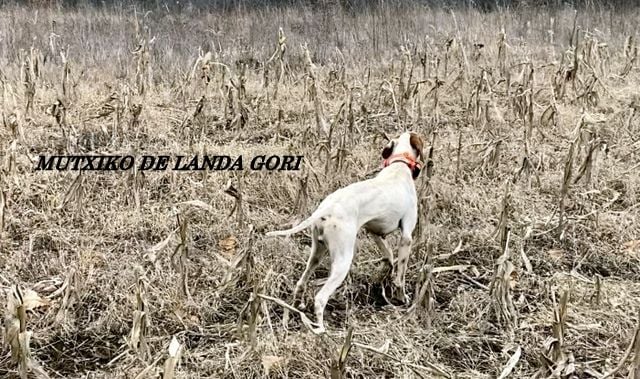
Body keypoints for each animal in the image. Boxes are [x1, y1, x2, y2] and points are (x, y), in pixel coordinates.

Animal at [266, 132, 424, 334]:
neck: (399, 166)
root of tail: (326, 208)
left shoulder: (374, 230)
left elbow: (388, 256)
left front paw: (386, 272)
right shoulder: (406, 237)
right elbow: (400, 276)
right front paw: (401, 298)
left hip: (317, 253)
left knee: (301, 283)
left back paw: (295, 311)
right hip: (343, 260)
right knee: (320, 299)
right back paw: (321, 330)